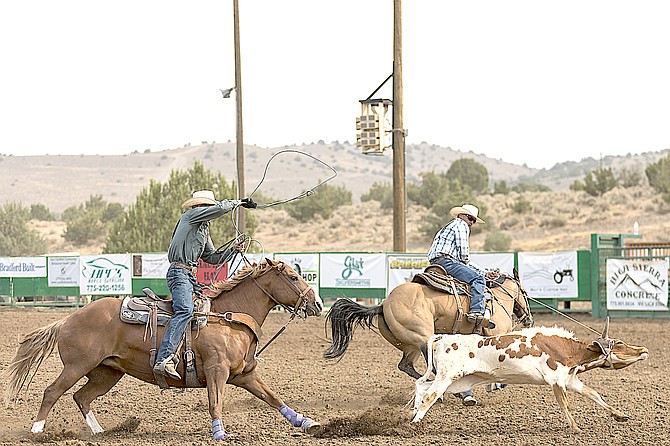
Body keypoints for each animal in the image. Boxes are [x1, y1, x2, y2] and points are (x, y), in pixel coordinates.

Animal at [3, 258, 326, 440]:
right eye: (294, 277)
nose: (318, 304)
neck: (229, 317)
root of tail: (68, 318)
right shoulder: (217, 372)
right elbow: (215, 403)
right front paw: (220, 433)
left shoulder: (244, 374)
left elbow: (273, 398)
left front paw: (307, 422)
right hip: (76, 366)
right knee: (52, 392)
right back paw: (37, 431)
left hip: (106, 373)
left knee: (81, 397)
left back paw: (99, 432)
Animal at [326, 268, 536, 380]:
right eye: (525, 293)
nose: (529, 319)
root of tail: (384, 303)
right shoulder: (496, 334)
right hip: (424, 338)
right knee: (434, 367)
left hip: (410, 345)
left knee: (406, 366)